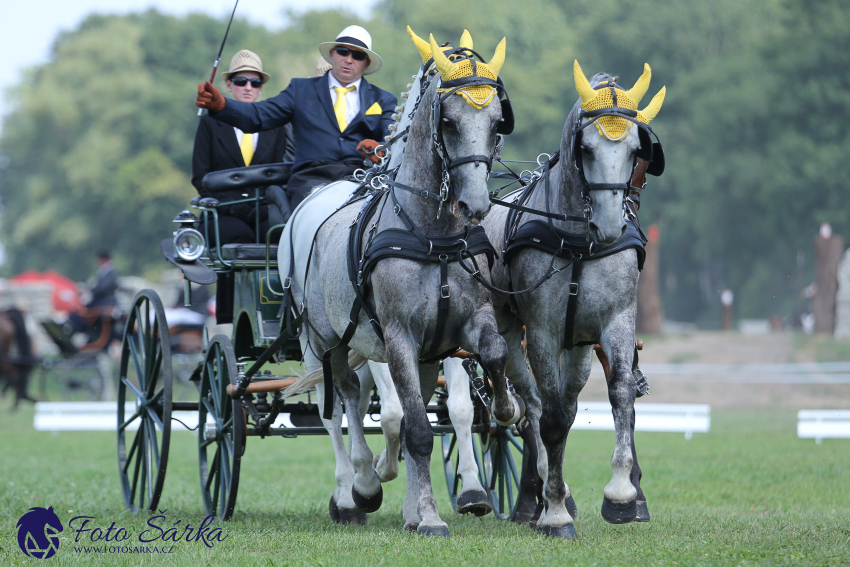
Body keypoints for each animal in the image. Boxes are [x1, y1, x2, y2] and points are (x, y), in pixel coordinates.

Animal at [282, 30, 520, 536]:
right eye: (448, 121)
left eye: (497, 123)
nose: (474, 204)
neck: (433, 236)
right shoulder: (396, 338)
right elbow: (412, 427)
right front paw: (426, 514)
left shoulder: (463, 326)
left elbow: (482, 371)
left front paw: (505, 411)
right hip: (322, 340)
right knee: (340, 405)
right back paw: (357, 488)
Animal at [476, 61, 664, 536]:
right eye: (588, 148)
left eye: (637, 150)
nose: (613, 224)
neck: (579, 242)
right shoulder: (541, 330)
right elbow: (551, 418)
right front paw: (556, 510)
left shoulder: (616, 321)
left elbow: (620, 394)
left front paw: (622, 493)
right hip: (513, 334)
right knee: (533, 406)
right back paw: (539, 496)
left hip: (577, 345)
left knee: (568, 399)